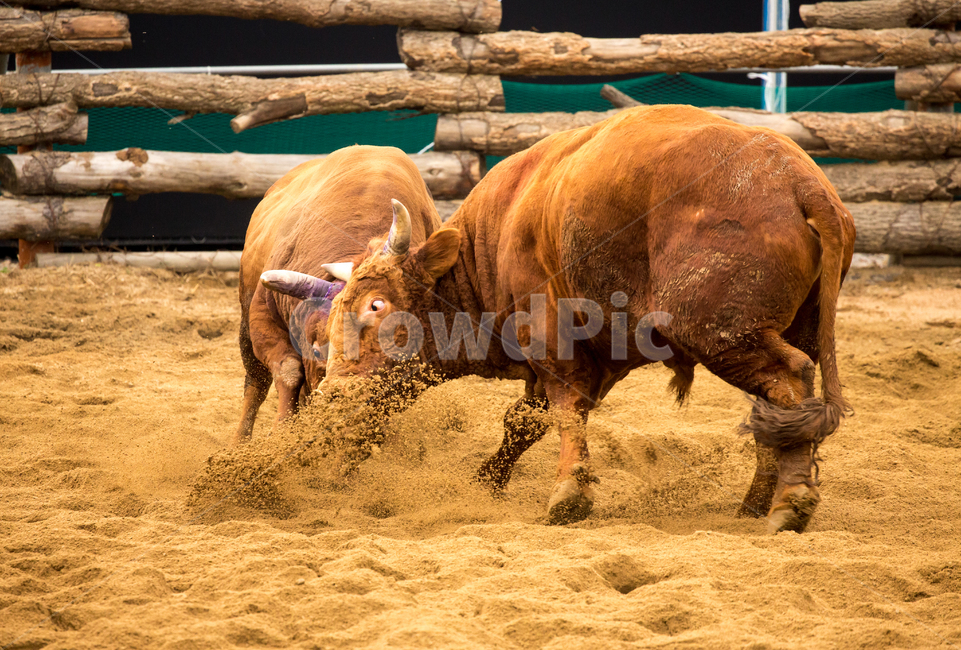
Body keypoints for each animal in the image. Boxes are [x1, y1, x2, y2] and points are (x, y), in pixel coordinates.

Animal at [233, 145, 442, 446]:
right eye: (319, 349)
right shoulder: (262, 313)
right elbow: (288, 371)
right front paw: (282, 433)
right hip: (245, 322)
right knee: (256, 382)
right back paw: (239, 442)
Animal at [268, 105, 857, 534]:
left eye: (375, 305)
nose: (333, 396)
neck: (491, 244)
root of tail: (802, 184)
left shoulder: (552, 339)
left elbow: (564, 410)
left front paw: (568, 496)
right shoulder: (594, 356)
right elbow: (526, 421)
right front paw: (486, 482)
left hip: (721, 333)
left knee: (789, 380)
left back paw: (790, 504)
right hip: (785, 328)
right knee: (776, 409)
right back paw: (757, 502)